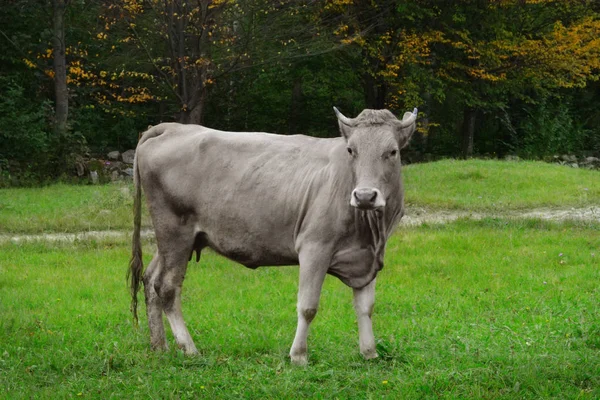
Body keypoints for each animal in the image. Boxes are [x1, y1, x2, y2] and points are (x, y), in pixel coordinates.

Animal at [127, 106, 418, 366]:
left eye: (392, 152)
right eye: (351, 151)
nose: (365, 196)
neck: (370, 230)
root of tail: (172, 127)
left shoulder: (366, 256)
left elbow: (365, 307)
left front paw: (369, 352)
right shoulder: (314, 247)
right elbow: (308, 306)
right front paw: (298, 356)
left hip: (174, 239)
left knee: (150, 279)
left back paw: (159, 346)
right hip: (175, 231)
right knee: (167, 287)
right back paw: (188, 348)